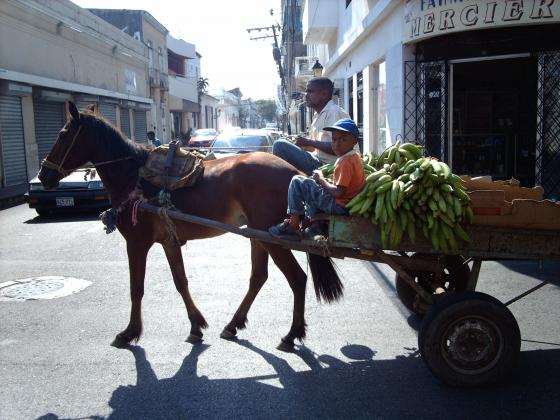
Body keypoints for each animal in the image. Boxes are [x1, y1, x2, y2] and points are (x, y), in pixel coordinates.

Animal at [38, 101, 342, 352]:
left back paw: (291, 335)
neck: (134, 176)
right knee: (258, 278)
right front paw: (196, 326)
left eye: (63, 134)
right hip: (258, 236)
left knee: (297, 279)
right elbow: (180, 281)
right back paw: (234, 324)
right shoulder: (169, 241)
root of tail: (295, 173)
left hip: (270, 237)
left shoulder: (136, 243)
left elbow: (136, 288)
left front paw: (129, 333)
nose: (43, 175)